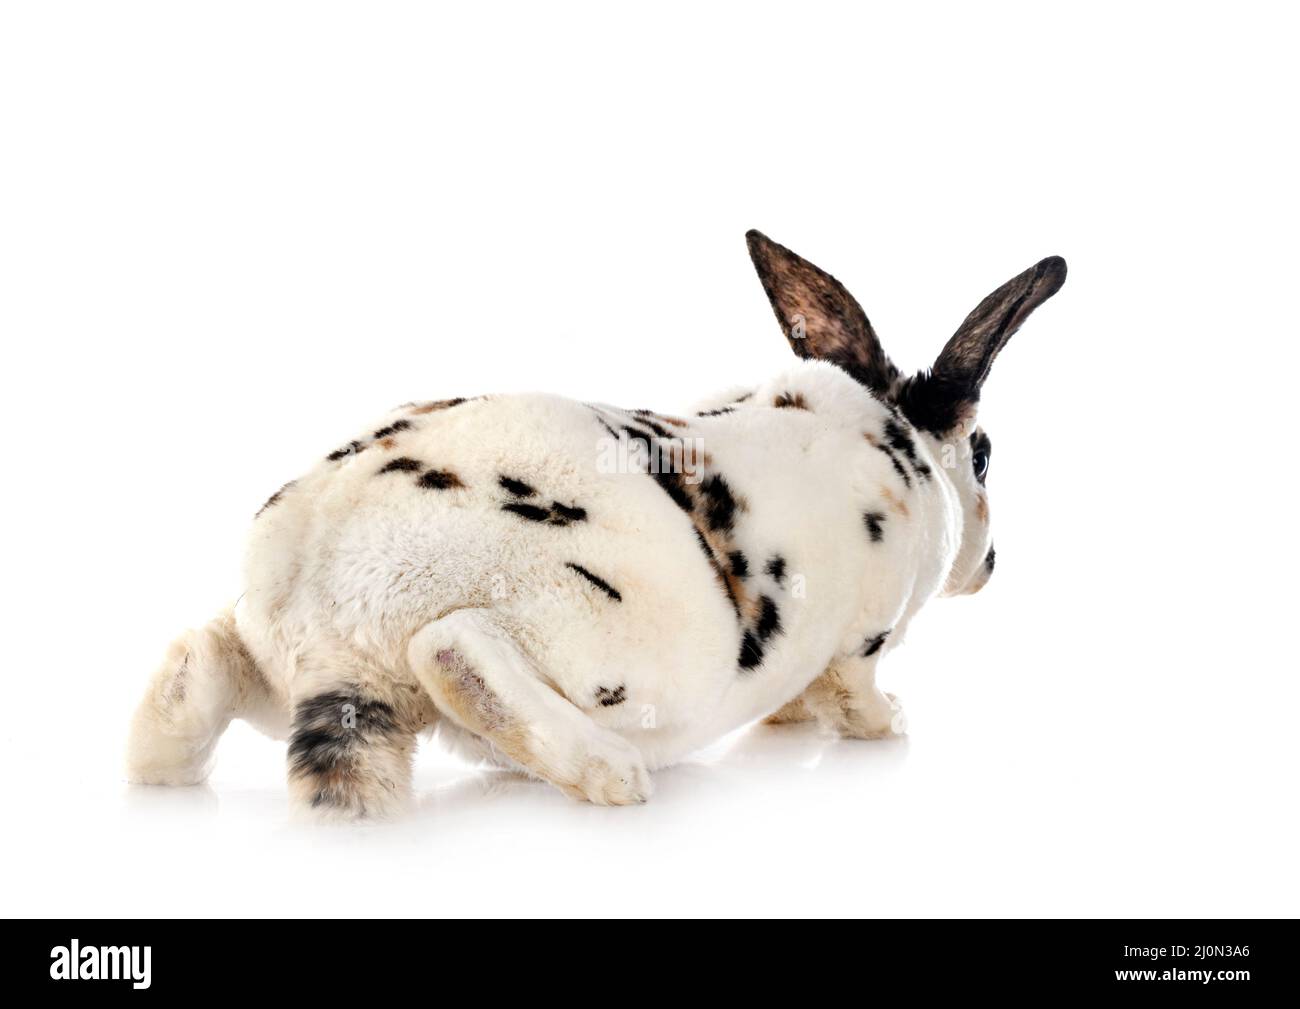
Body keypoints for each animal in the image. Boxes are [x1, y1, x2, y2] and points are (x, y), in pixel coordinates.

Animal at [126, 230, 1067, 819]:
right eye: (986, 455)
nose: (992, 564)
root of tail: (337, 625)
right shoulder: (860, 639)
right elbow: (853, 697)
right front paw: (893, 722)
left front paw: (787, 727)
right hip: (614, 639)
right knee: (455, 651)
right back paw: (615, 778)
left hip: (270, 668)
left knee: (198, 657)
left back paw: (162, 768)